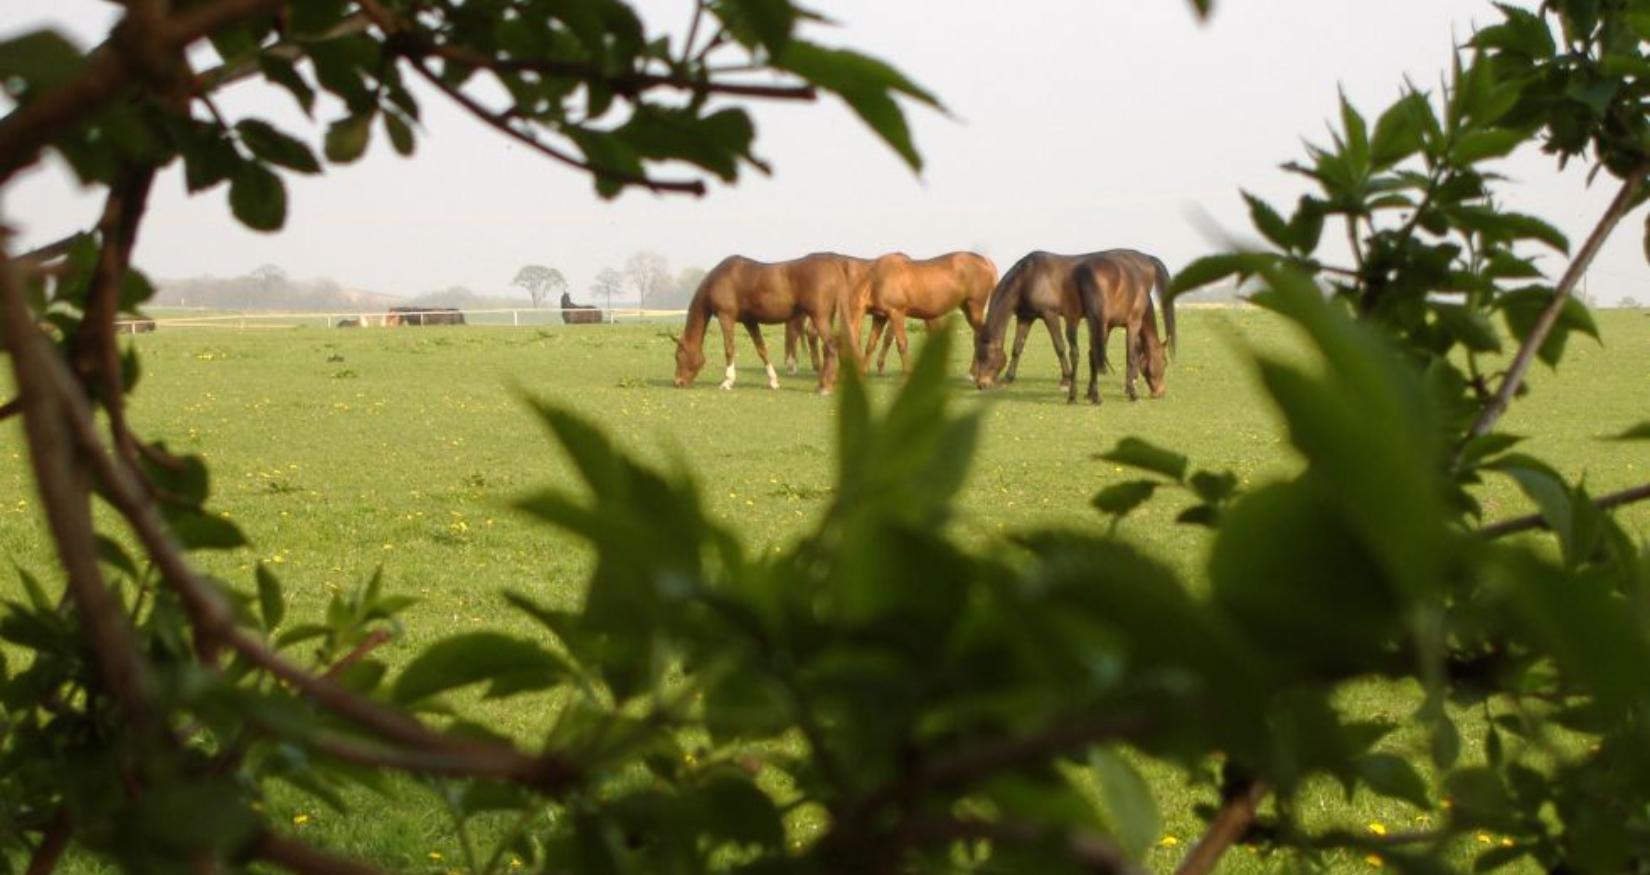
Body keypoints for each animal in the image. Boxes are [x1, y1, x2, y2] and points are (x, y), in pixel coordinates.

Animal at [669, 250, 877, 389]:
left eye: (678, 356)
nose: (678, 382)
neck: (723, 278)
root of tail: (834, 266)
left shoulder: (725, 316)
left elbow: (729, 349)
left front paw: (727, 381)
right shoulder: (750, 321)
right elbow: (762, 349)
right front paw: (773, 381)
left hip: (819, 317)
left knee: (831, 346)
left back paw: (824, 386)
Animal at [844, 252, 996, 374]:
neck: (877, 279)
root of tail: (986, 262)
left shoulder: (896, 314)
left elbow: (901, 344)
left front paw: (907, 372)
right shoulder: (880, 317)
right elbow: (871, 344)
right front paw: (863, 371)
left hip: (975, 308)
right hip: (967, 309)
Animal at [970, 249, 1181, 401]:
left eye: (984, 356)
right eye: (979, 356)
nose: (981, 384)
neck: (1029, 276)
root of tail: (1146, 258)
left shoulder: (1050, 315)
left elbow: (1059, 347)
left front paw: (1065, 380)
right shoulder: (1026, 317)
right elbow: (1017, 348)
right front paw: (1008, 377)